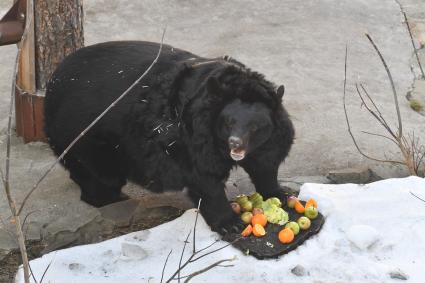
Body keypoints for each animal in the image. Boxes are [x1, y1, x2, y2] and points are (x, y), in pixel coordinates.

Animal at [44, 41, 294, 234]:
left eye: (255, 127)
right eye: (228, 122)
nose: (235, 143)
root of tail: (54, 81)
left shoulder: (269, 139)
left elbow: (265, 164)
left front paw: (279, 194)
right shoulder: (195, 138)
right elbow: (205, 178)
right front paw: (229, 223)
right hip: (85, 136)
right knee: (98, 175)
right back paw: (116, 199)